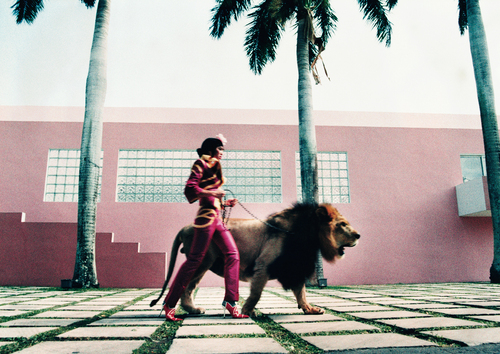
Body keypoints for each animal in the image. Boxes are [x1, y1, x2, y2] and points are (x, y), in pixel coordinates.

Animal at [149, 203, 360, 316]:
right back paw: (191, 310)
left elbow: (301, 292)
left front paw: (310, 309)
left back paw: (190, 310)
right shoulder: (263, 265)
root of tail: (185, 227)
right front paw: (247, 312)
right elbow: (257, 293)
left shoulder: (294, 267)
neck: (305, 236)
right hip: (203, 260)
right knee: (187, 286)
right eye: (342, 224)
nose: (358, 235)